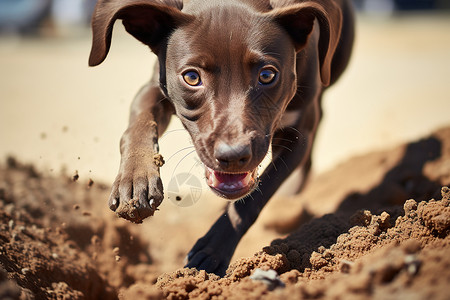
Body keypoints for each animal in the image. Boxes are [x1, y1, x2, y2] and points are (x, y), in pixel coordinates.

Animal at [89, 0, 356, 276]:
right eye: (192, 77)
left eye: (267, 75)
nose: (233, 155)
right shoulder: (154, 88)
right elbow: (138, 126)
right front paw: (134, 181)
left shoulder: (299, 134)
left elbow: (254, 198)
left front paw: (212, 251)